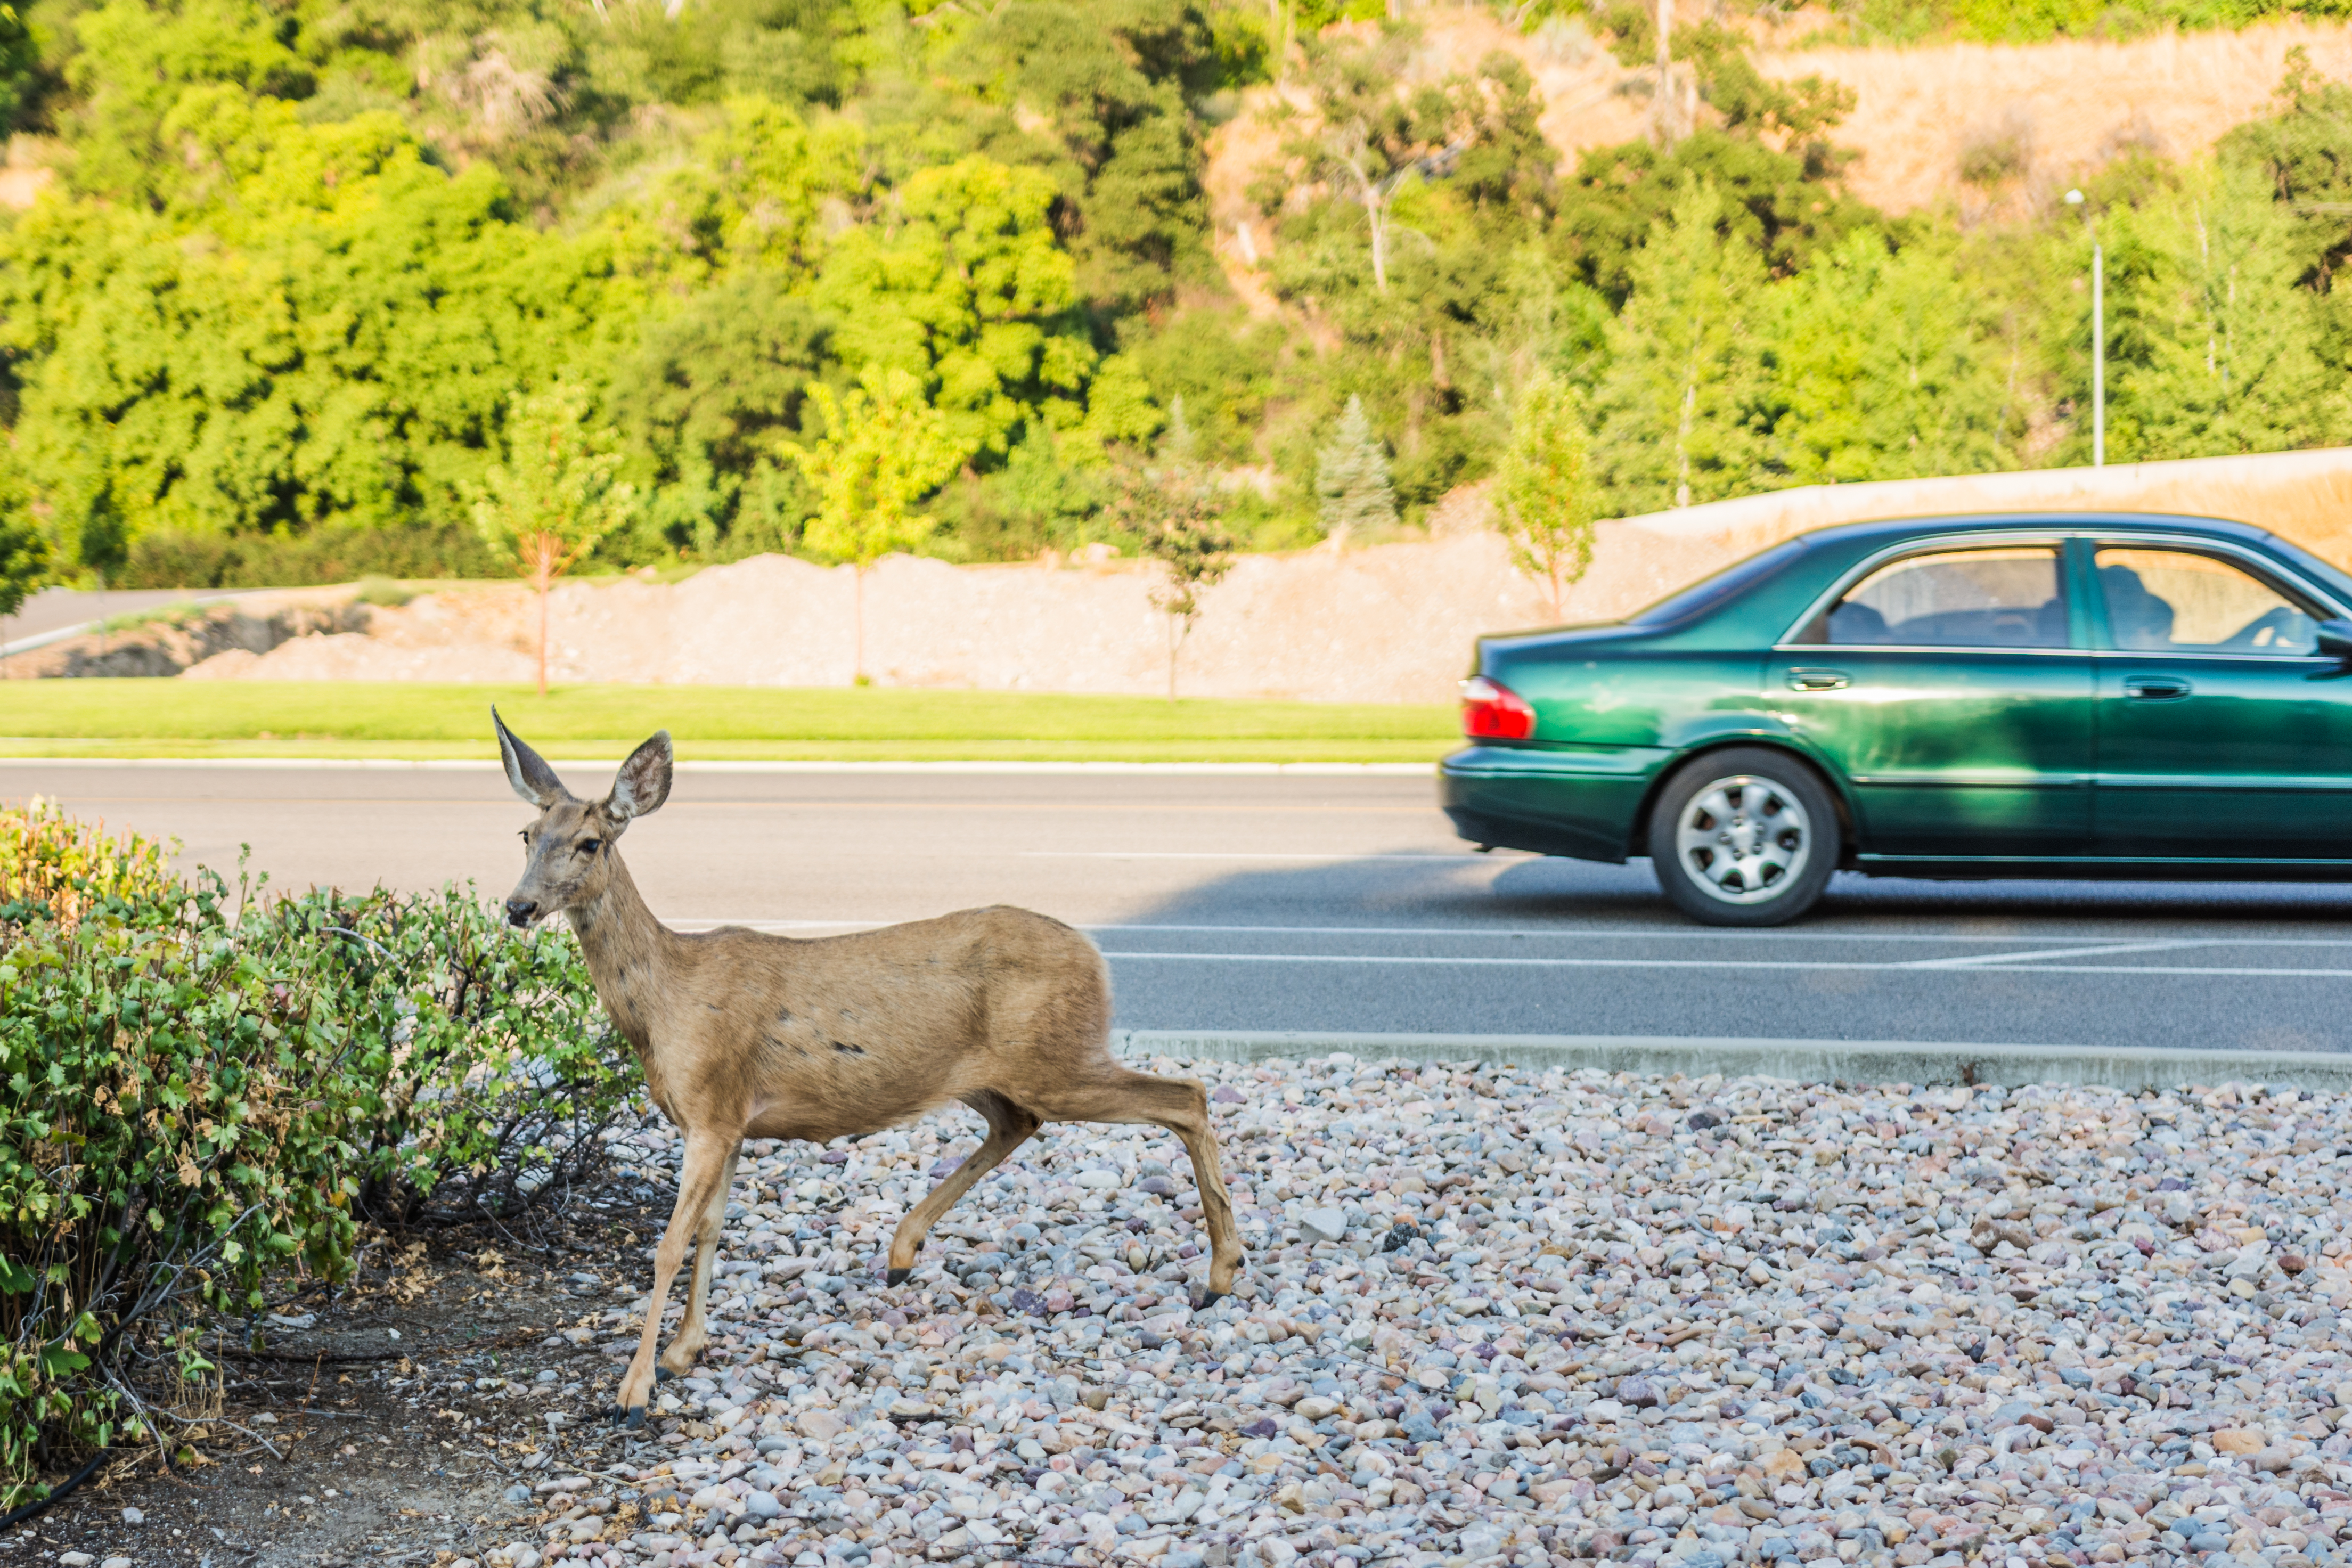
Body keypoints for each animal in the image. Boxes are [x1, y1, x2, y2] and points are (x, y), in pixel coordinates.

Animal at [494, 719, 1251, 1429]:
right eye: (527, 833)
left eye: (592, 842)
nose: (518, 906)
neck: (664, 1004)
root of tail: (1096, 958)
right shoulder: (728, 1119)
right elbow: (710, 1229)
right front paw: (684, 1350)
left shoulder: (710, 1108)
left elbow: (669, 1244)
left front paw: (633, 1390)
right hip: (996, 1074)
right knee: (1021, 1123)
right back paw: (902, 1249)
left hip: (1057, 1059)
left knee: (1186, 1095)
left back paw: (1221, 1273)